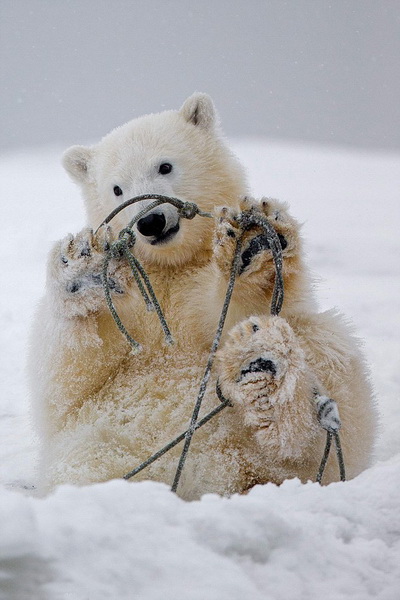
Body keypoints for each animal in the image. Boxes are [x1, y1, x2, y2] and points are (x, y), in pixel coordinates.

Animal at [29, 92, 376, 496]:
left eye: (165, 166)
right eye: (117, 188)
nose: (150, 222)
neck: (172, 264)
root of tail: (209, 477)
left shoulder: (195, 284)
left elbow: (235, 311)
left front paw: (250, 249)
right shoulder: (133, 303)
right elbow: (67, 379)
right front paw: (81, 266)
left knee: (327, 356)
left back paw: (266, 377)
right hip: (97, 448)